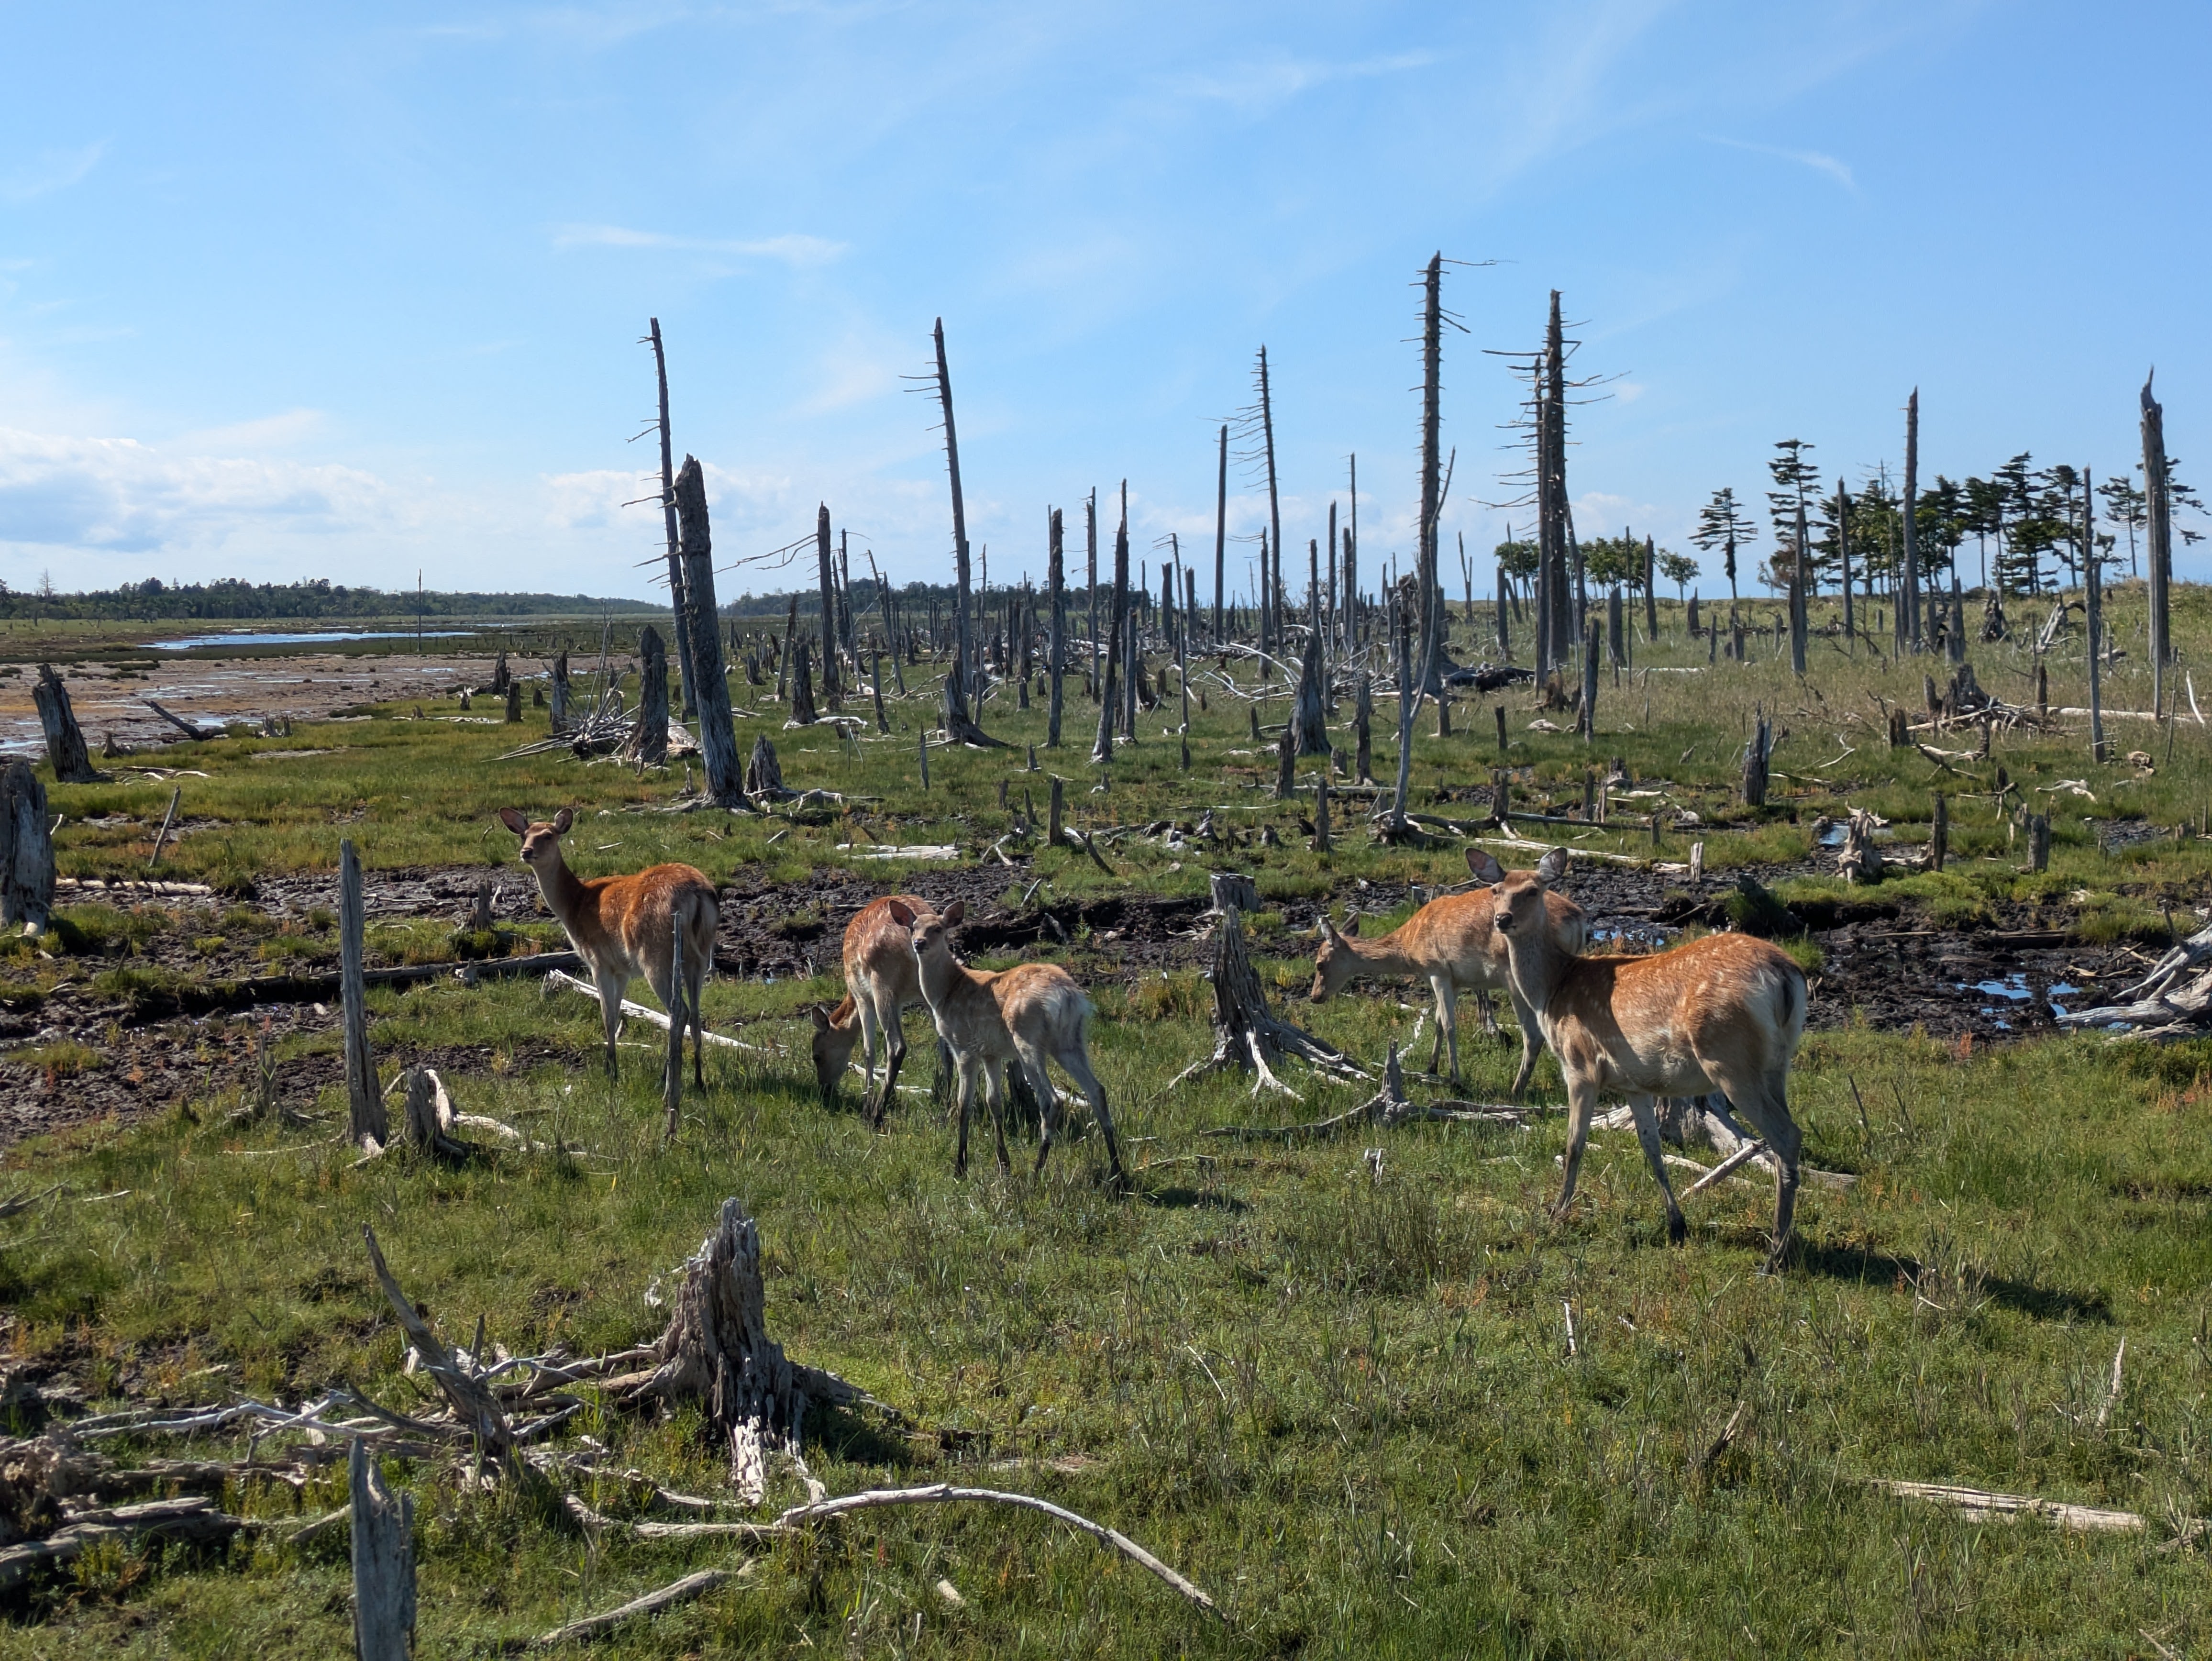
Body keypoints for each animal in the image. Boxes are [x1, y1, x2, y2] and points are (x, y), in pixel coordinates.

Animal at [495, 809, 717, 1092]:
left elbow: (608, 1015)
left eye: (548, 835)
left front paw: (611, 1071)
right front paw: (613, 1067)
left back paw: (666, 1080)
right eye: (524, 835)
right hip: (700, 955)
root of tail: (698, 894)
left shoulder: (597, 960)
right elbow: (617, 1010)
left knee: (680, 1011)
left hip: (656, 954)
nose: (526, 852)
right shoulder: (621, 968)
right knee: (697, 1014)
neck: (573, 905)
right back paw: (698, 1079)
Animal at [814, 898, 933, 1132]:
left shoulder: (862, 996)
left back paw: (876, 1115)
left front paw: (867, 1107)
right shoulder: (899, 1002)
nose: (824, 1090)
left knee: (897, 1046)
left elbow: (869, 1051)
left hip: (881, 982)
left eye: (817, 1056)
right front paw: (892, 1097)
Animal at [880, 902, 1123, 1185]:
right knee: (1097, 1091)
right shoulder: (991, 1053)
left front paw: (960, 1167)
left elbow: (964, 1103)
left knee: (1052, 1100)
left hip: (1027, 1037)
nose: (919, 943)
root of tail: (1068, 997)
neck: (946, 992)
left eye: (938, 928)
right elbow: (993, 1101)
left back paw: (1036, 1174)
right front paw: (1003, 1164)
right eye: (913, 927)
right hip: (1071, 1040)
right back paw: (1118, 1174)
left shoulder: (964, 1045)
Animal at [1309, 849, 1593, 1097]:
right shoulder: (1455, 980)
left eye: (1319, 964)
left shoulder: (1438, 970)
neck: (1410, 949)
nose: (1315, 996)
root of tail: (1578, 923)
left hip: (1517, 981)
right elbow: (1436, 1021)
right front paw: (1432, 1068)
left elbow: (1448, 1024)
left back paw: (1517, 1090)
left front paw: (1456, 1080)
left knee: (1533, 1034)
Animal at [1486, 849, 1814, 1265]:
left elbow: (1574, 1144)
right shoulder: (1635, 1084)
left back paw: (1774, 1256)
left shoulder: (1581, 1065)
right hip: (1778, 1063)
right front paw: (1677, 1224)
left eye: (1532, 890)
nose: (1502, 920)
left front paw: (1558, 1214)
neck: (1554, 989)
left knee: (1786, 1135)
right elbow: (1652, 1148)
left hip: (1730, 1057)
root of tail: (1786, 975)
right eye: (1496, 890)